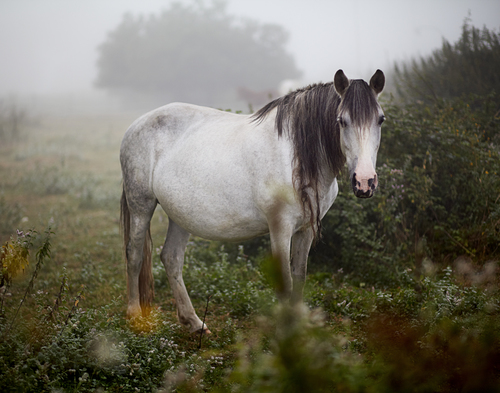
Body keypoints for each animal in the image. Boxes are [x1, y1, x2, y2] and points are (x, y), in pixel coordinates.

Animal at [121, 69, 386, 330]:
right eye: (341, 121)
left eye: (381, 119)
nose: (364, 182)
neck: (295, 157)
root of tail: (135, 125)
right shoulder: (280, 228)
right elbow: (286, 281)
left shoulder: (306, 229)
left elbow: (299, 275)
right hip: (141, 206)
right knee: (134, 255)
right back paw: (134, 314)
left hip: (181, 216)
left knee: (171, 258)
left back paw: (194, 322)